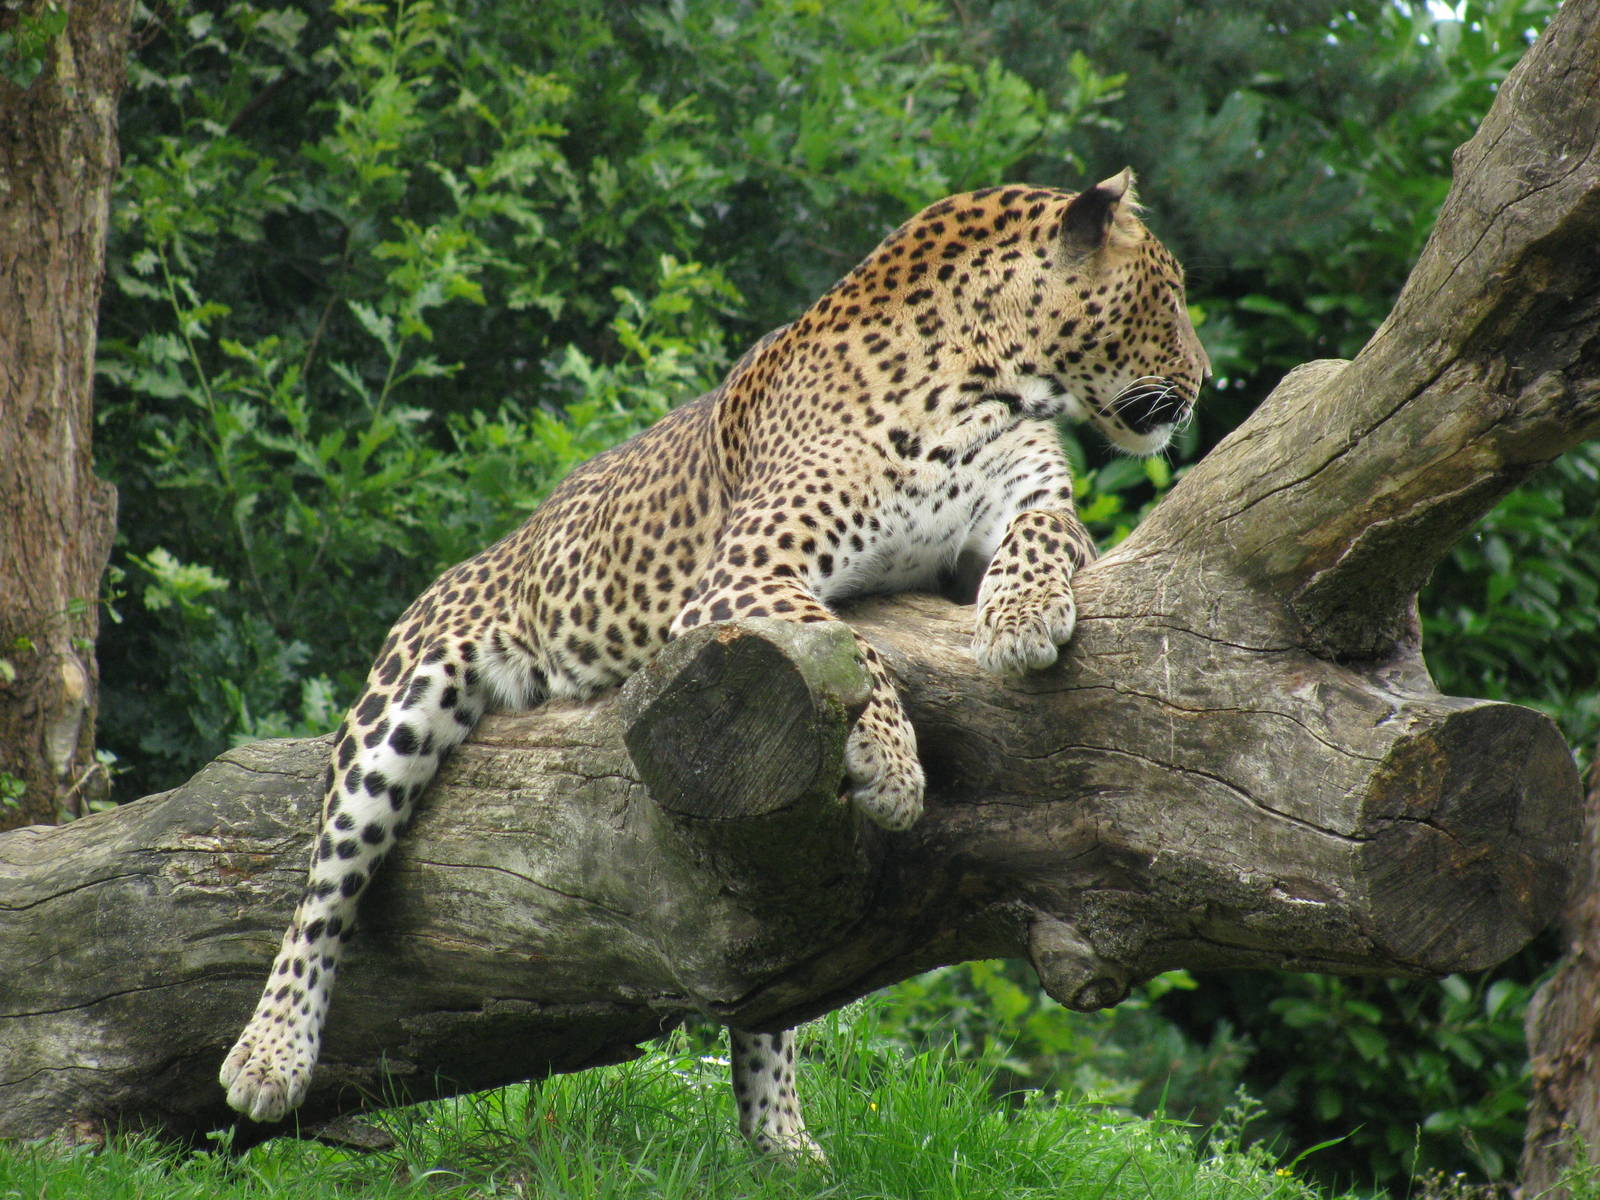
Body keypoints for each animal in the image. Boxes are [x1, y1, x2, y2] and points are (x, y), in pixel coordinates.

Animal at [220, 168, 1208, 1159]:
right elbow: (854, 644)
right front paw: (896, 768)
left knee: (771, 971)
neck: (992, 383)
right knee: (324, 891)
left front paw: (1021, 615)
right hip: (399, 711)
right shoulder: (739, 579)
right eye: (1170, 295)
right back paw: (268, 1057)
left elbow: (1044, 531)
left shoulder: (1022, 513)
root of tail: (480, 559)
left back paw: (780, 1140)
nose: (1204, 384)